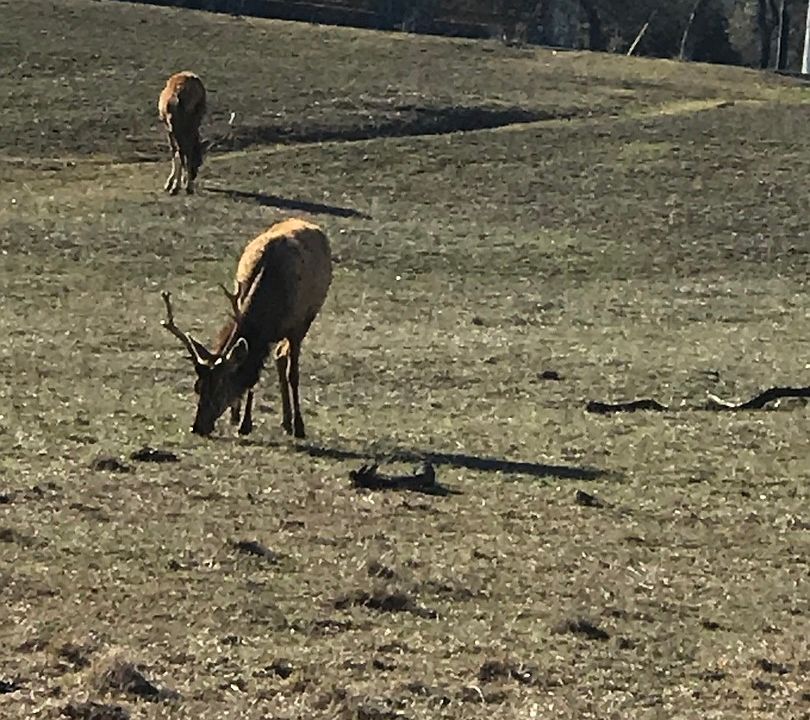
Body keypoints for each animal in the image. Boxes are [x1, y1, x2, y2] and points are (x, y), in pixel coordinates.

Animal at [160, 218, 333, 438]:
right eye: (198, 387)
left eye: (220, 388)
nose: (197, 427)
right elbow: (252, 376)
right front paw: (243, 422)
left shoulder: (297, 326)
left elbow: (292, 375)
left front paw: (299, 426)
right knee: (279, 355)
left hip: (309, 316)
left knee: (282, 357)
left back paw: (290, 423)